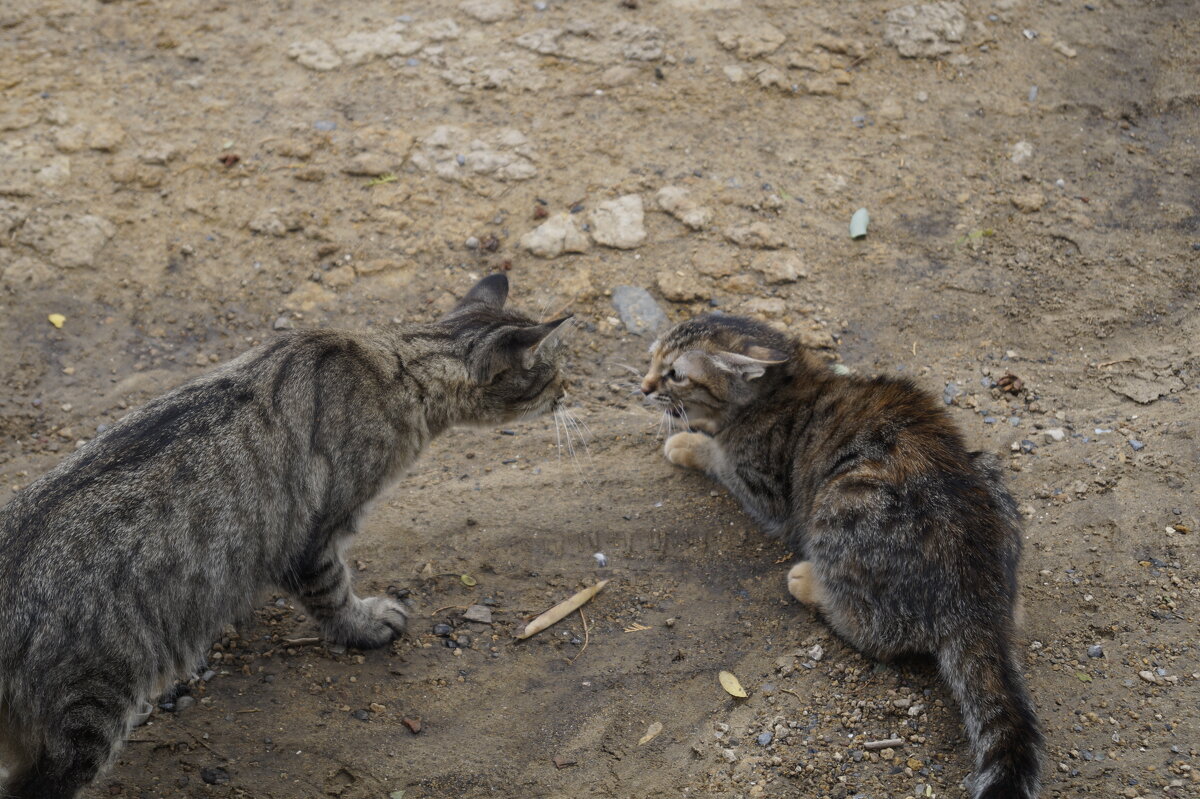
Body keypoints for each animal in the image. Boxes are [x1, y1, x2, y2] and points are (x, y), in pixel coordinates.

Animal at [0, 273, 571, 796]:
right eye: (553, 374)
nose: (569, 390)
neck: (400, 368)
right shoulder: (313, 538)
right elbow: (335, 596)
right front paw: (366, 625)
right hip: (87, 717)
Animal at [643, 311, 1046, 796]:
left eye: (675, 374)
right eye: (652, 359)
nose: (643, 387)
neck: (782, 384)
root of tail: (978, 599)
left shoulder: (765, 490)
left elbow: (718, 458)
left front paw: (688, 441)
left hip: (841, 504)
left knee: (876, 632)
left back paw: (808, 582)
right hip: (988, 472)